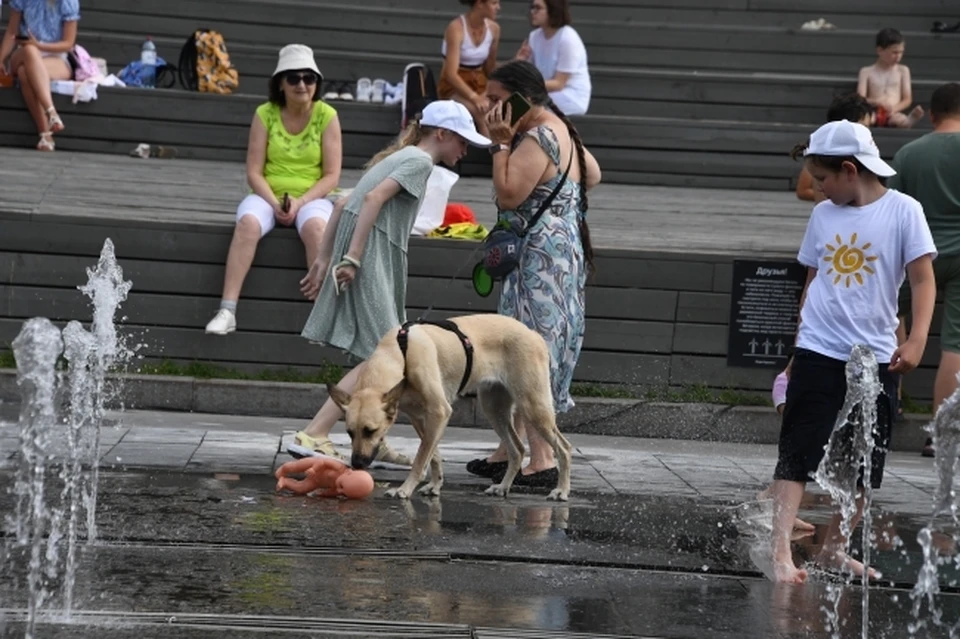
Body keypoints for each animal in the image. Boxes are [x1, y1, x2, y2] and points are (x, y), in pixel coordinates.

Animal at [330, 312, 568, 502]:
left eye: (371, 431)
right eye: (349, 433)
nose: (356, 465)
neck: (398, 352)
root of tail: (533, 334)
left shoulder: (439, 412)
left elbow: (421, 458)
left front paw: (405, 489)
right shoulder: (421, 418)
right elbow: (432, 455)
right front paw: (435, 485)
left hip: (533, 407)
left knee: (563, 448)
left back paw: (561, 491)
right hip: (494, 409)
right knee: (517, 450)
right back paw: (502, 487)